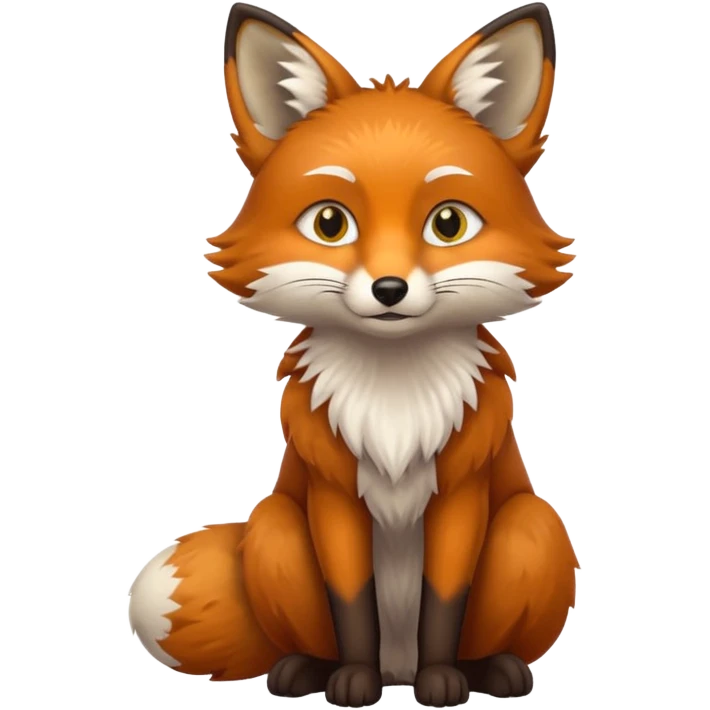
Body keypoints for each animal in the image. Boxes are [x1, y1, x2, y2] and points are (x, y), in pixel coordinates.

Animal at [128, 2, 580, 707]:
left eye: (448, 224)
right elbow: (351, 600)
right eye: (330, 223)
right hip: (275, 531)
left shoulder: (461, 494)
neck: (394, 398)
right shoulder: (332, 495)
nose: (389, 289)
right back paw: (305, 670)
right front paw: (353, 682)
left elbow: (444, 600)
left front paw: (442, 680)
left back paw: (493, 671)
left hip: (529, 530)